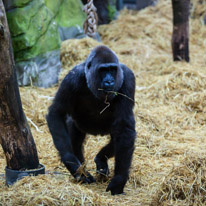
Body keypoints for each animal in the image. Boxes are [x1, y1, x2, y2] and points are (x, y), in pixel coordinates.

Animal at [46, 45, 137, 195]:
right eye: (103, 70)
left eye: (112, 69)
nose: (109, 81)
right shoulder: (71, 79)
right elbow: (56, 113)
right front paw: (72, 164)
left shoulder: (128, 78)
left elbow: (124, 128)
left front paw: (119, 180)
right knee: (75, 141)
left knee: (118, 138)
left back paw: (101, 159)